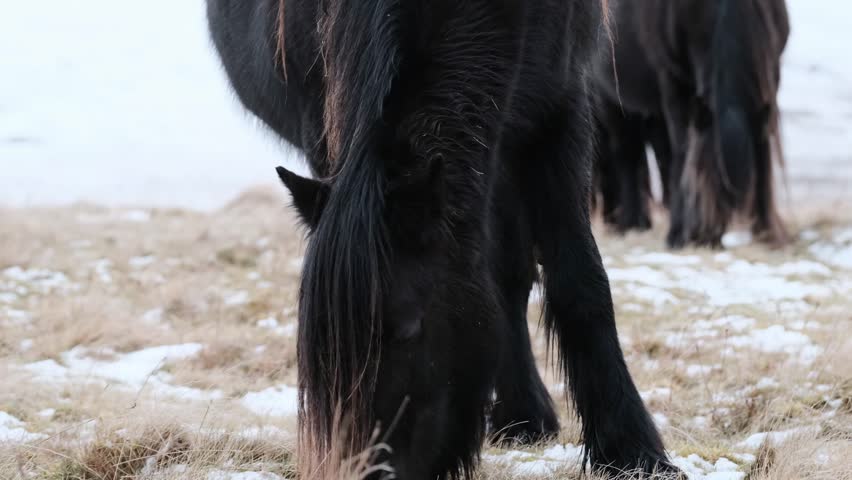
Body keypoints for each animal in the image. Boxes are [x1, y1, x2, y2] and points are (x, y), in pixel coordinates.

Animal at [593, 0, 790, 248]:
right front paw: (678, 234)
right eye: (702, 174)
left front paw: (766, 232)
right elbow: (681, 153)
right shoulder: (673, 84)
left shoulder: (770, 77)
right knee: (627, 155)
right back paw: (630, 224)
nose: (705, 237)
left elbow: (763, 156)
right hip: (612, 101)